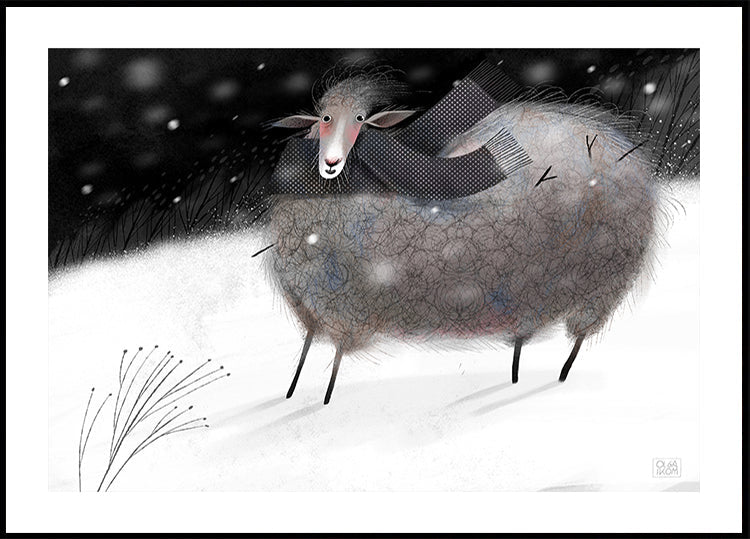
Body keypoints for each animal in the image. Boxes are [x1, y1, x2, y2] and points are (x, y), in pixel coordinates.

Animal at [265, 65, 660, 405]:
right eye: (324, 119)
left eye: (360, 120)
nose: (331, 162)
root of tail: (619, 147)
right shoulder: (312, 309)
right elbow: (304, 354)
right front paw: (290, 394)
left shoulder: (344, 313)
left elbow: (334, 366)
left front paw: (324, 403)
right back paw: (517, 371)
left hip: (603, 284)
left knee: (577, 340)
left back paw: (556, 378)